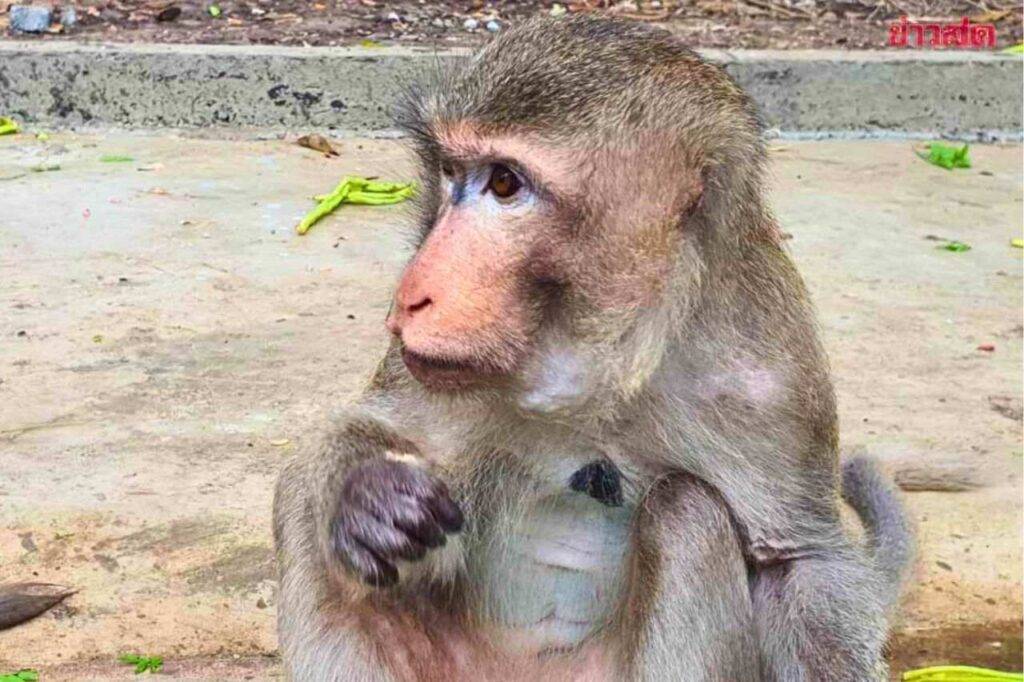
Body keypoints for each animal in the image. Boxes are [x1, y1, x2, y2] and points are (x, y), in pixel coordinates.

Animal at [273, 15, 913, 682]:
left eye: (505, 183)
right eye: (450, 172)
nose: (411, 296)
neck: (604, 355)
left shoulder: (773, 382)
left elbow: (800, 563)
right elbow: (378, 428)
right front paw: (367, 496)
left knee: (687, 512)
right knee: (300, 498)